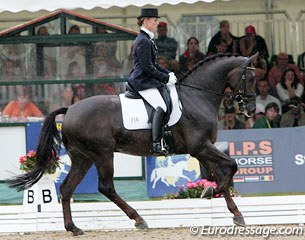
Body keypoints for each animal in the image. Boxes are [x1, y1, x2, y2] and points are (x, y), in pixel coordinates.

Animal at [7, 53, 256, 236]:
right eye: (250, 78)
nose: (251, 110)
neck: (196, 98)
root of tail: (69, 110)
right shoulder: (200, 147)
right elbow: (232, 166)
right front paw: (212, 191)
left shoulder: (202, 149)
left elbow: (219, 173)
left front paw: (235, 213)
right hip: (103, 153)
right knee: (106, 187)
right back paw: (139, 219)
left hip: (82, 157)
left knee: (67, 187)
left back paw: (74, 228)